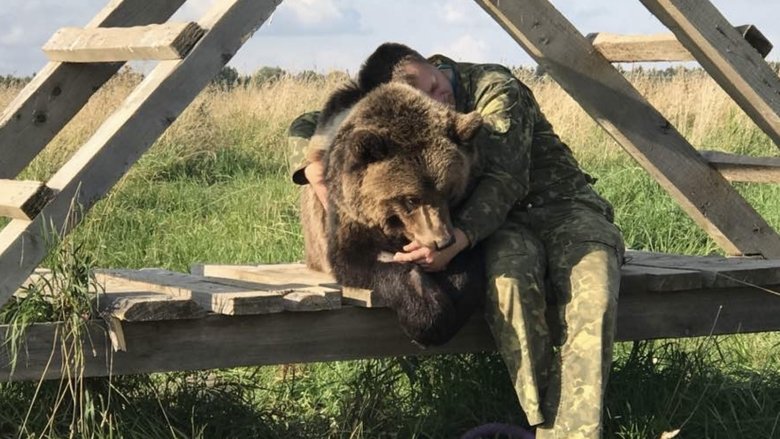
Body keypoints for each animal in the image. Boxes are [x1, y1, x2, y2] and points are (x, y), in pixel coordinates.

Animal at [305, 80, 486, 347]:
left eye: (450, 192)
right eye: (411, 198)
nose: (442, 241)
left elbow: (467, 260)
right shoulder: (349, 219)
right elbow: (365, 263)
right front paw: (428, 317)